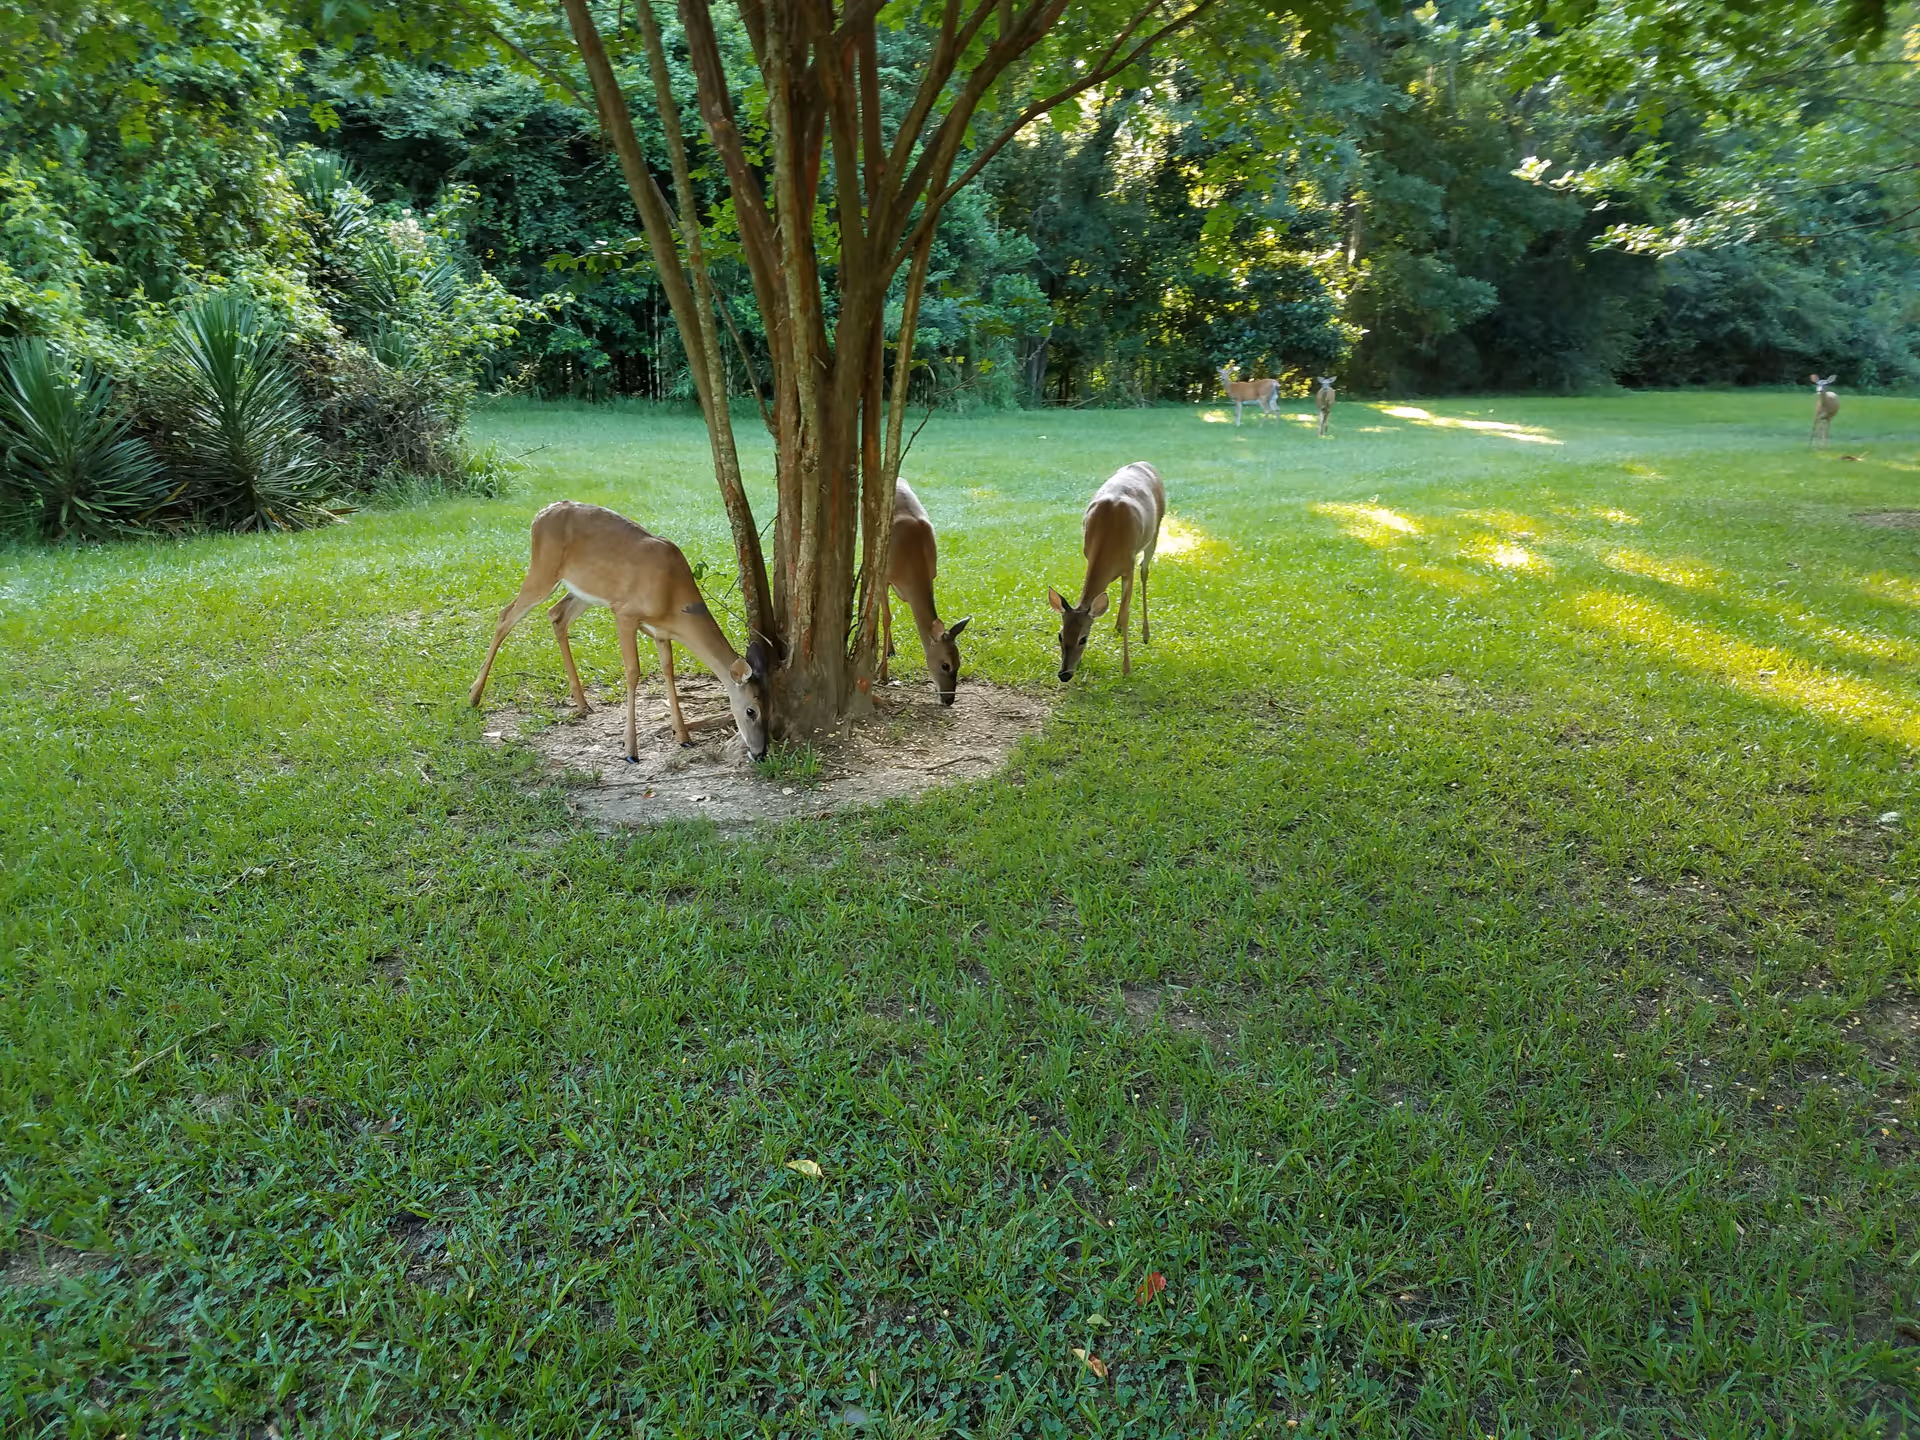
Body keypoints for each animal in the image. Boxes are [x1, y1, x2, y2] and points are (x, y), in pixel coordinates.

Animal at [468, 500, 770, 763]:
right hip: (543, 570)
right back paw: (474, 695)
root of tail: (539, 515)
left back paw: (582, 703)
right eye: (751, 711)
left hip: (584, 591)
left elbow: (668, 670)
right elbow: (633, 672)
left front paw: (683, 736)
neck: (673, 600)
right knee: (505, 615)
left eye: (769, 708)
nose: (760, 753)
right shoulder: (625, 613)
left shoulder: (661, 632)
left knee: (556, 615)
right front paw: (630, 749)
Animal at [881, 479, 971, 706]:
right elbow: (886, 617)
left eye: (959, 663)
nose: (949, 699)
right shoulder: (883, 575)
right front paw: (882, 674)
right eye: (945, 665)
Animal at [1048, 461, 1165, 681]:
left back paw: (1145, 634)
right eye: (1060, 635)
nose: (1064, 674)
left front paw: (1126, 668)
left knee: (1145, 571)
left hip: (1156, 530)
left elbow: (1127, 612)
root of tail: (1145, 463)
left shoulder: (1128, 565)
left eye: (1083, 639)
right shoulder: (1088, 555)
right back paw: (1117, 627)